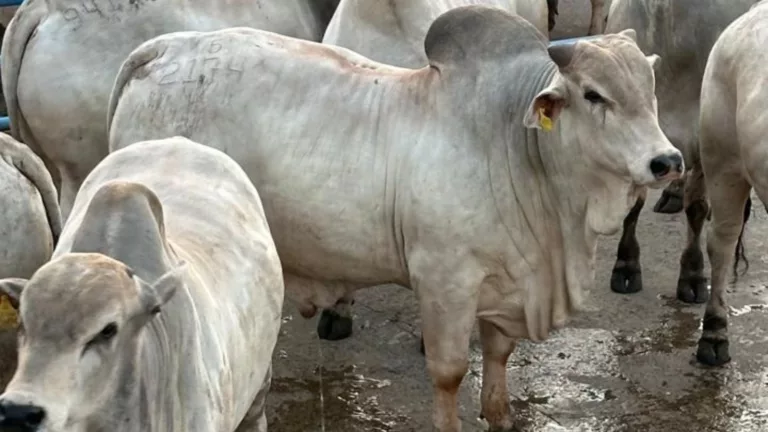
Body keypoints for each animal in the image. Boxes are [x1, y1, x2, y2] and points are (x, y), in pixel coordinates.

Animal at [105, 5, 680, 428]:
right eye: (593, 95)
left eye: (650, 91)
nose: (667, 161)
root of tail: (162, 50)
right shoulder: (446, 282)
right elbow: (449, 374)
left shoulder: (508, 283)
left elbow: (498, 361)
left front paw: (499, 414)